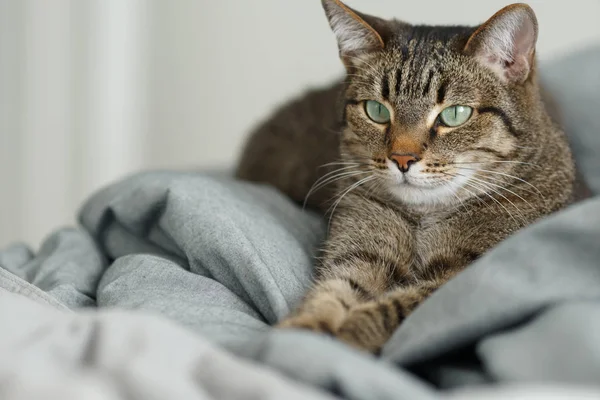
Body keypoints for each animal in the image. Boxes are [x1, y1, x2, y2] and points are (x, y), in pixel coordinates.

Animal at [236, 0, 576, 354]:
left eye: (455, 114)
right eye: (376, 110)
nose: (402, 159)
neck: (423, 216)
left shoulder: (465, 275)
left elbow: (405, 304)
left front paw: (354, 328)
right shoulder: (360, 251)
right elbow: (332, 291)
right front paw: (302, 331)